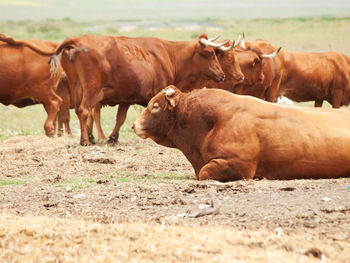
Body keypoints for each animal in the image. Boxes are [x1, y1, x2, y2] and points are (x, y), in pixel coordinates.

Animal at [52, 34, 230, 146]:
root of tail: (79, 41)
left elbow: (120, 118)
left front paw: (113, 138)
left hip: (77, 88)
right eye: (209, 53)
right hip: (91, 89)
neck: (169, 55)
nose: (222, 75)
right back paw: (85, 141)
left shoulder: (126, 98)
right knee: (84, 110)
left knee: (81, 111)